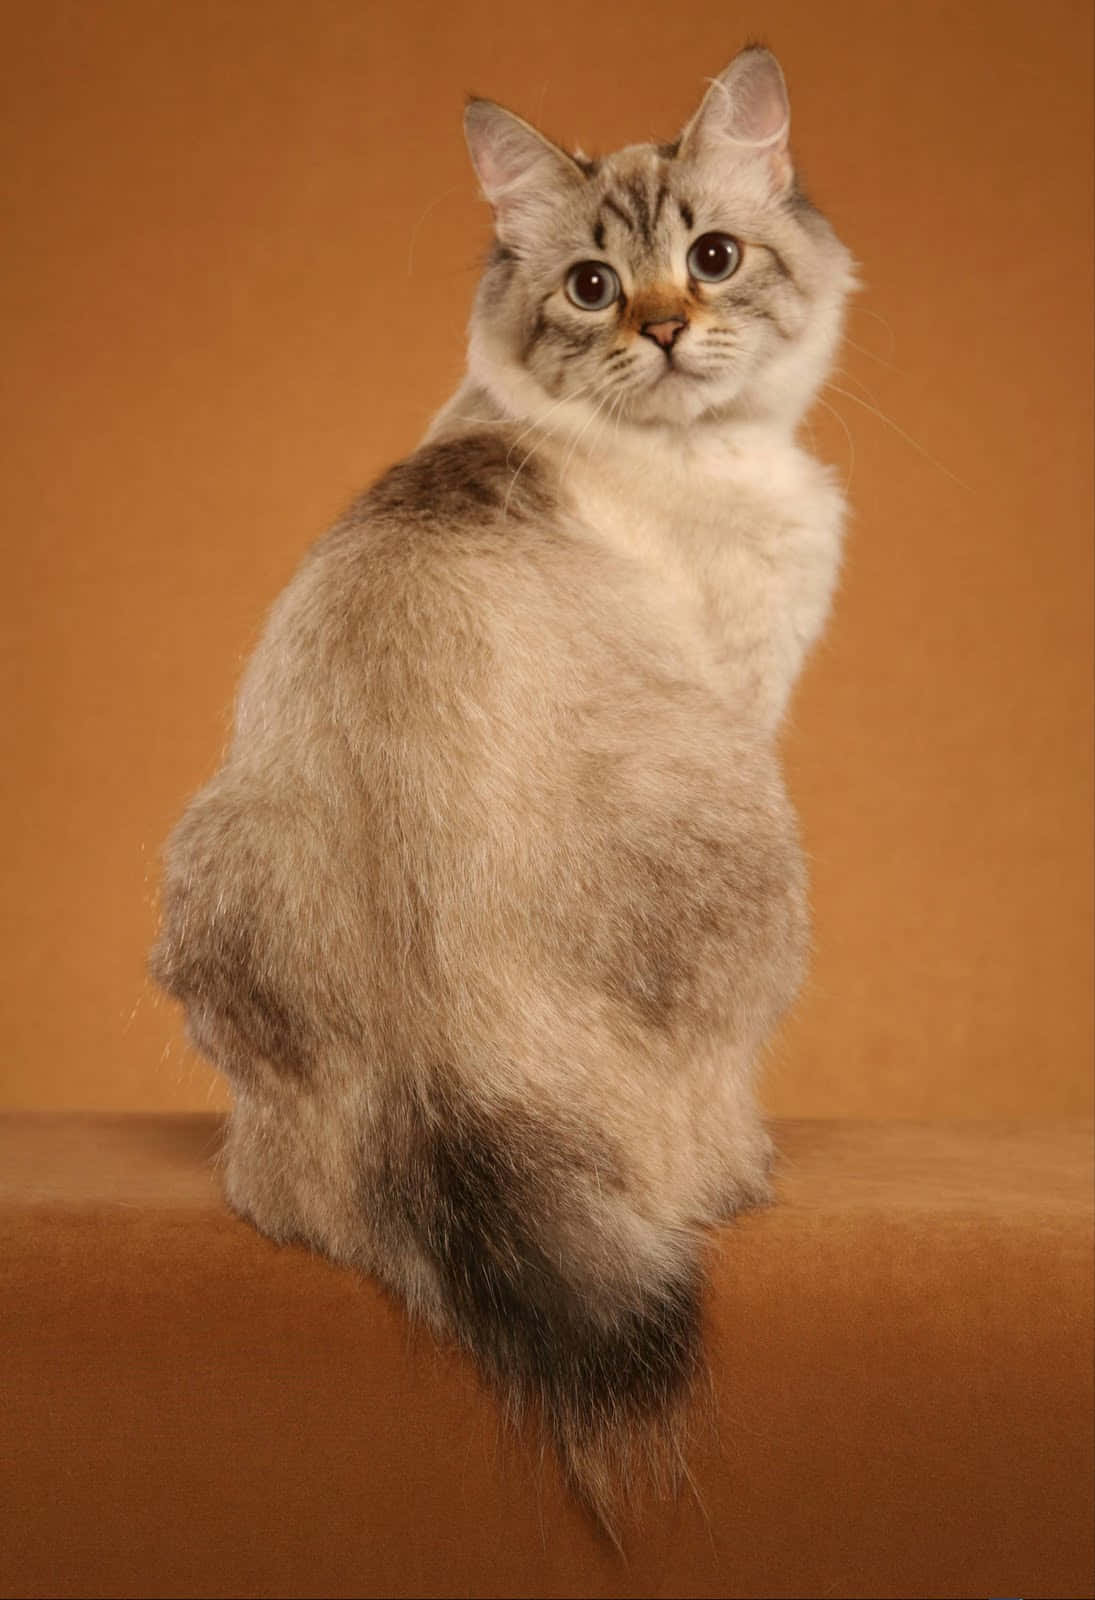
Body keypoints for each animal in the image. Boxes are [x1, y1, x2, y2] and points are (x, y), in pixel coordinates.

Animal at [152, 43, 858, 1529]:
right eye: (592, 286)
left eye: (711, 259)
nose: (662, 328)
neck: (688, 449)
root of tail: (455, 1089)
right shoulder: (745, 695)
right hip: (757, 841)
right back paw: (744, 1172)